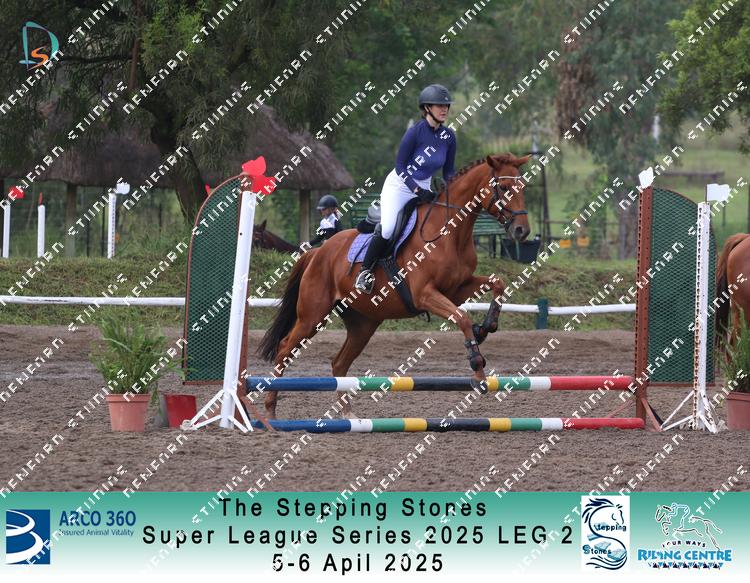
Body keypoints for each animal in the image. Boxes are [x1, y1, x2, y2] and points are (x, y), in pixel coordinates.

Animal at [258, 153, 531, 418]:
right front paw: (477, 368)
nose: (522, 231)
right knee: (285, 349)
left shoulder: (456, 289)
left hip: (363, 324)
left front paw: (486, 327)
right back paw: (270, 409)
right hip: (313, 316)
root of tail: (317, 253)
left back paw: (349, 414)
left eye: (523, 187)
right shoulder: (425, 294)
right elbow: (462, 317)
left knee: (339, 363)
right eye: (504, 187)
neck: (450, 232)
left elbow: (497, 283)